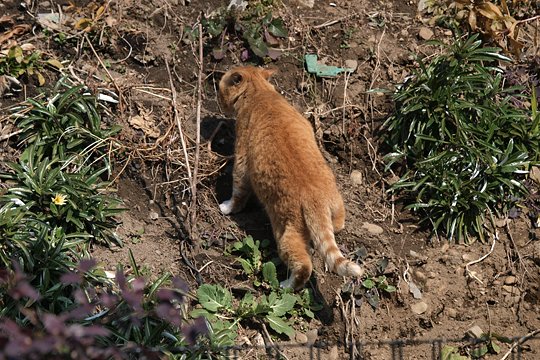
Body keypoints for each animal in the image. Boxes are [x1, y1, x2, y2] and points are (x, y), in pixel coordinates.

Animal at [218, 65, 362, 290]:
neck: (260, 92)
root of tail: (316, 199)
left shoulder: (241, 161)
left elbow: (238, 193)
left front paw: (227, 207)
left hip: (287, 234)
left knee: (304, 266)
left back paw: (286, 285)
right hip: (337, 207)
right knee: (336, 227)